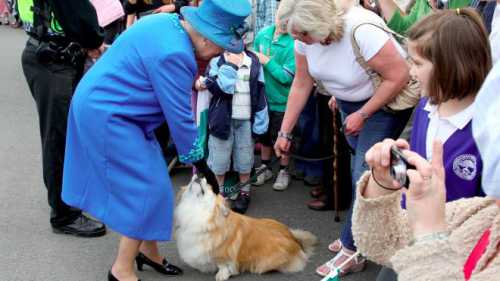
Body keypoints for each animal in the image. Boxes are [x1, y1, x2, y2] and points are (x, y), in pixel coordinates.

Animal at [175, 175, 316, 280]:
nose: (199, 175)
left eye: (210, 188)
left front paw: (222, 275)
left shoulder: (222, 253)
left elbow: (223, 265)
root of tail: (295, 239)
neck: (199, 212)